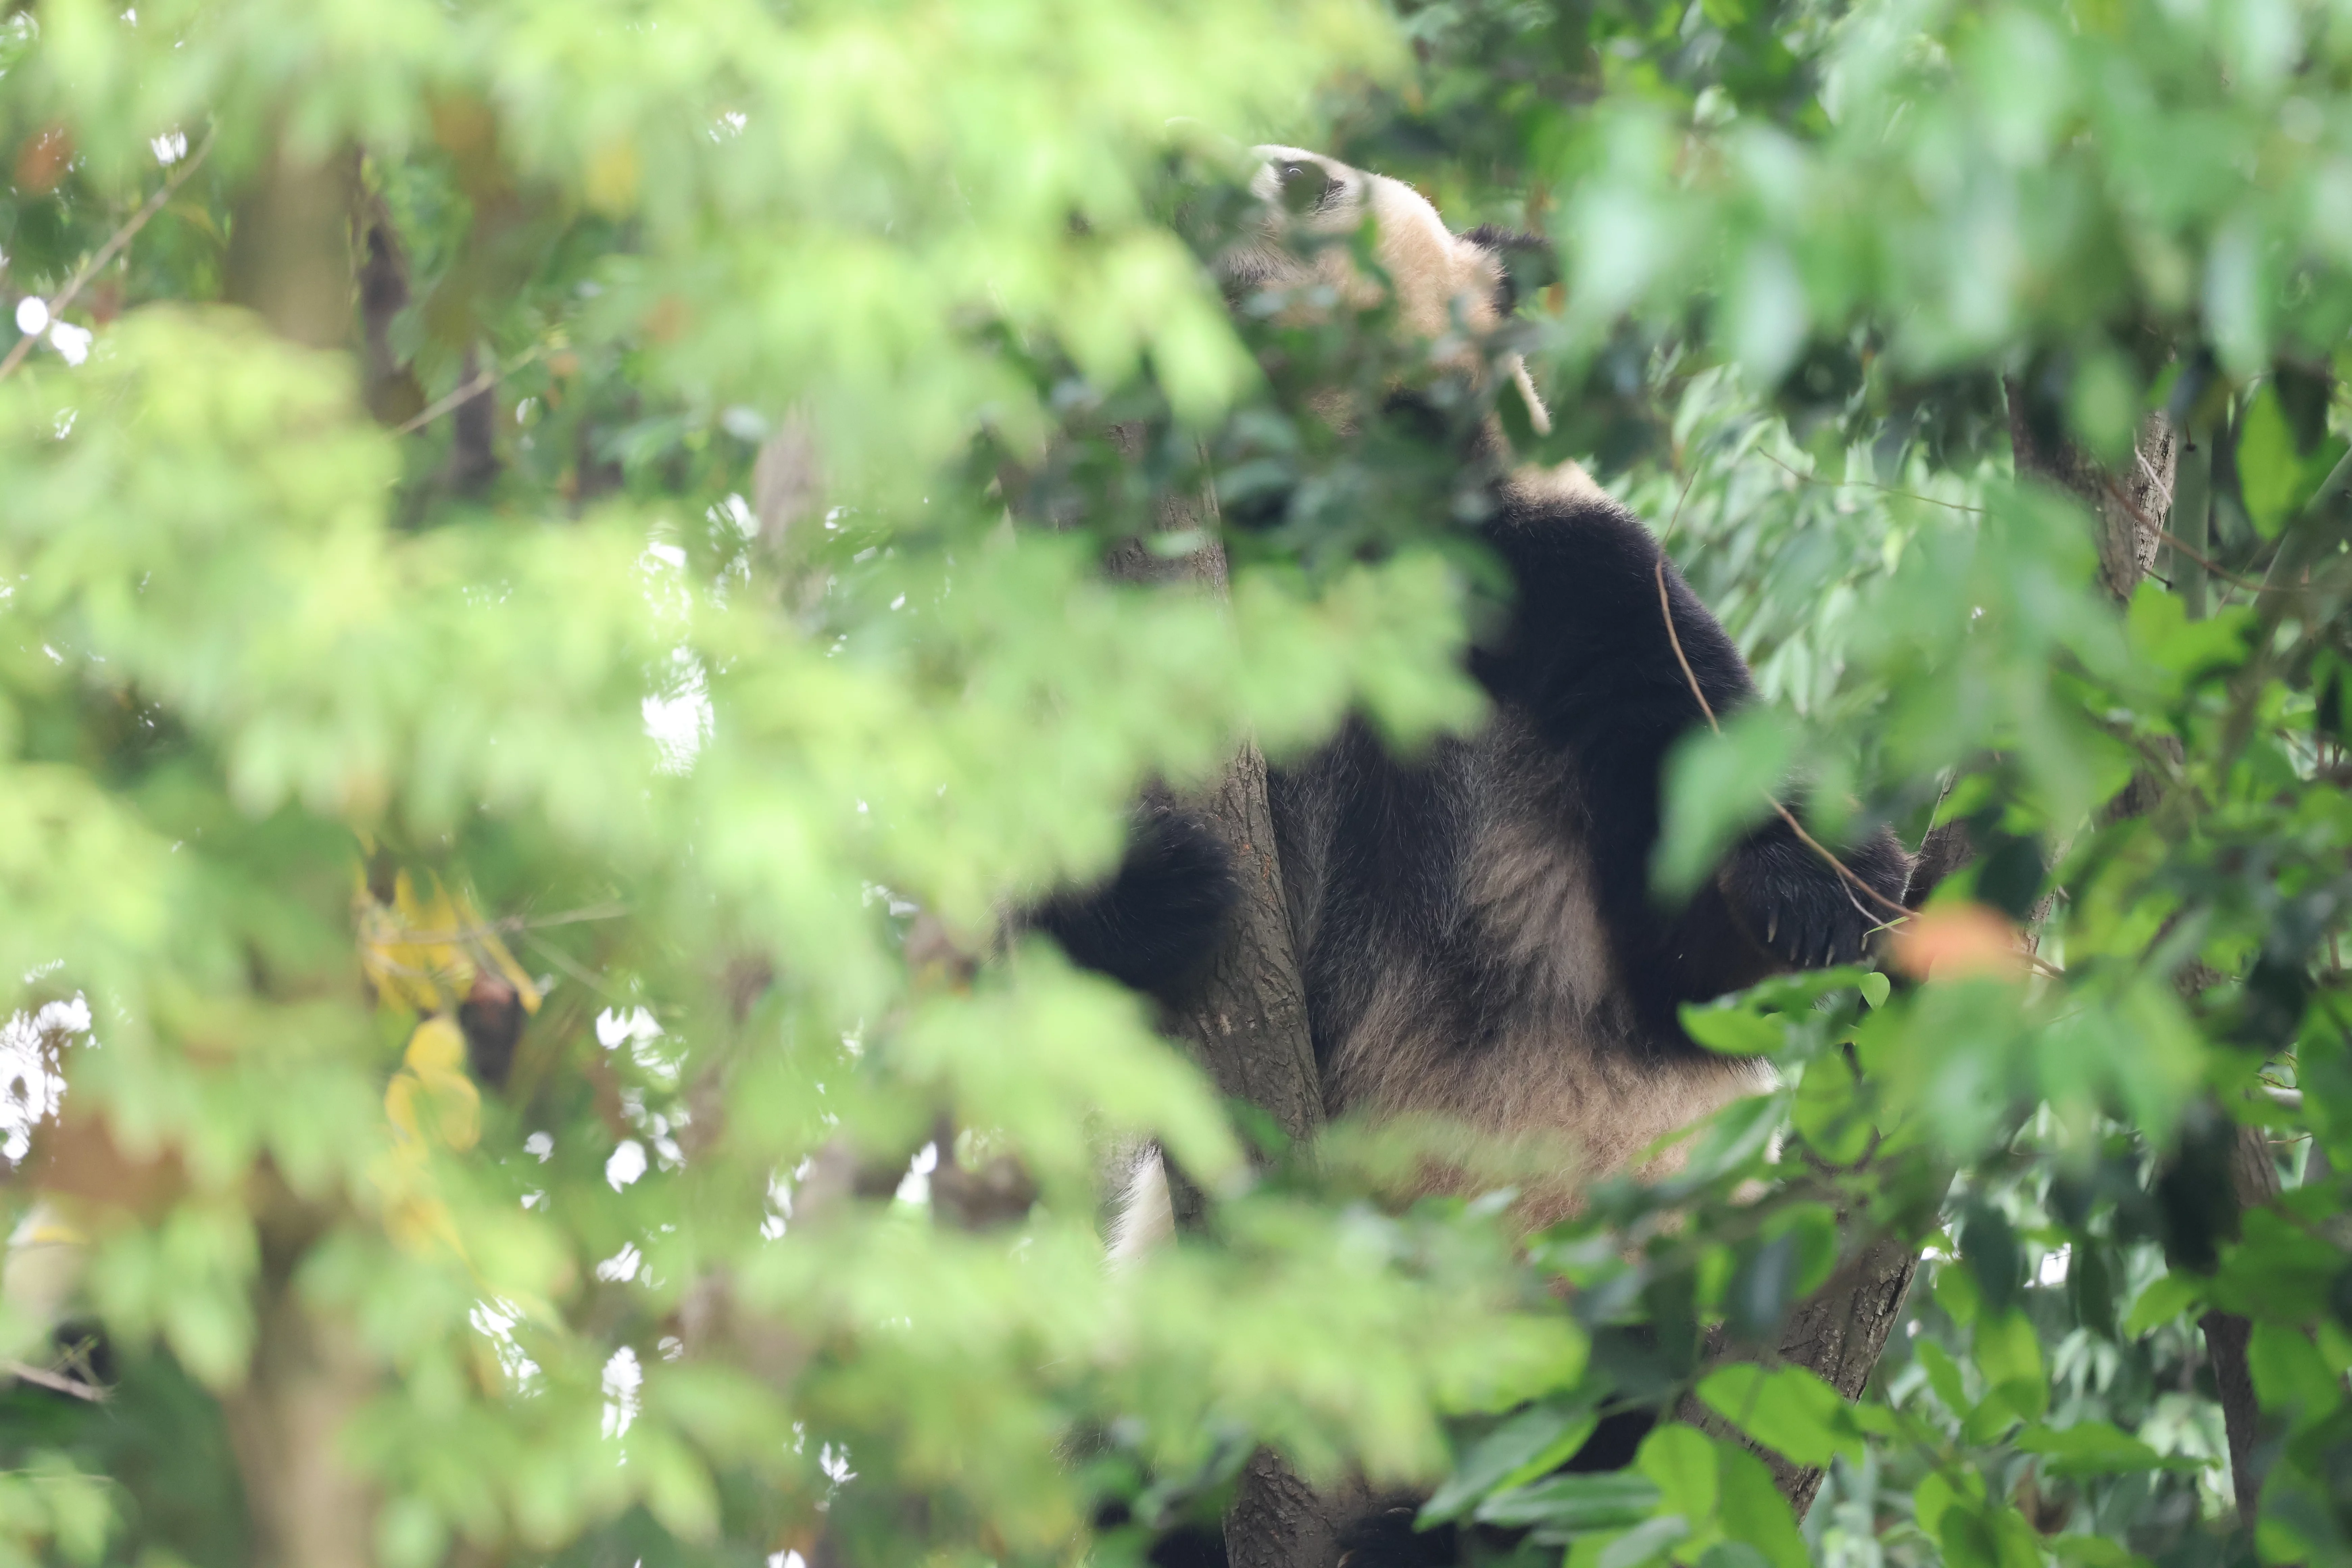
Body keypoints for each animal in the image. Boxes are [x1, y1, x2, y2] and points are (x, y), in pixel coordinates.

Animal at [1036, 145, 1913, 1564]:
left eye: (1304, 177)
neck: (1324, 524)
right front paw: (1158, 892)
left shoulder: (1552, 571)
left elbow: (1698, 924)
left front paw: (1810, 904)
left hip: (1607, 1279)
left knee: (1606, 1425)